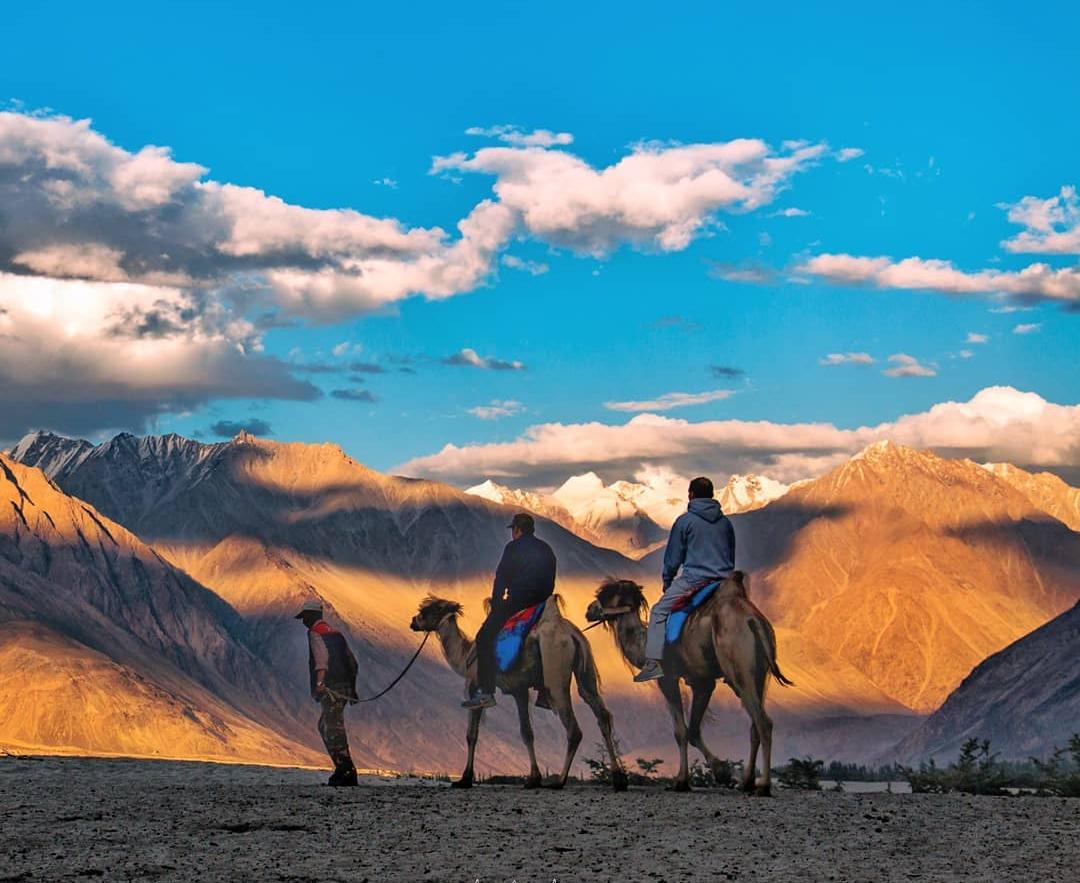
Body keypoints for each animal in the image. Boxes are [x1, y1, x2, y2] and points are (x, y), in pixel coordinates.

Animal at [406, 595, 630, 785]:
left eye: (427, 610)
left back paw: (559, 781)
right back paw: (618, 778)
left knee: (573, 728)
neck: (464, 656)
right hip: (586, 671)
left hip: (555, 669)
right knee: (601, 713)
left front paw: (465, 779)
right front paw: (533, 778)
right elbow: (527, 732)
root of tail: (571, 634)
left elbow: (472, 734)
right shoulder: (519, 689)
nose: (413, 621)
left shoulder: (474, 688)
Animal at [583, 569, 794, 790]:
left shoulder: (668, 678)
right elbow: (693, 730)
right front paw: (722, 772)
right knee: (755, 724)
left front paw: (682, 781)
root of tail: (753, 620)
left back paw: (763, 786)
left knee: (763, 722)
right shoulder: (701, 682)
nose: (589, 610)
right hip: (760, 674)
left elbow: (681, 731)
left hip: (739, 669)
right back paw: (747, 782)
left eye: (607, 594)